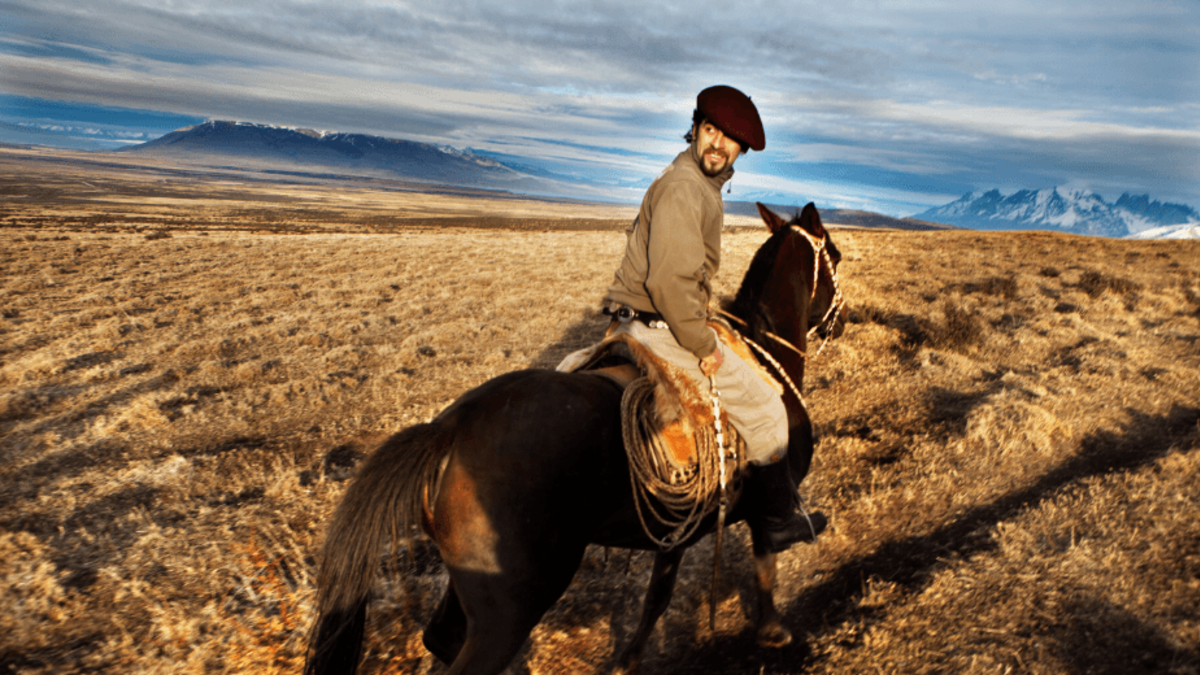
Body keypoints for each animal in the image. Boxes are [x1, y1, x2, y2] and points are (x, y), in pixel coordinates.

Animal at [304, 200, 849, 672]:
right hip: (510, 609)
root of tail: (448, 429)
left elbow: (658, 596)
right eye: (837, 255)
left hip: (471, 588)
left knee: (439, 637)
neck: (763, 352)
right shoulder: (764, 499)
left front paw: (629, 659)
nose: (842, 320)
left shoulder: (675, 529)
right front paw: (774, 629)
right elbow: (766, 558)